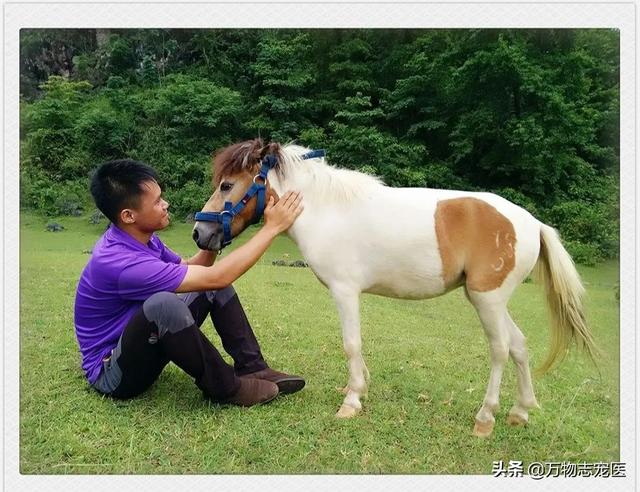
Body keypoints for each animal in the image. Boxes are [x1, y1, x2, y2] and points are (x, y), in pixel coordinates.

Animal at [189, 139, 596, 438]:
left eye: (226, 185)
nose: (198, 233)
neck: (327, 211)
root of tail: (533, 223)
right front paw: (357, 388)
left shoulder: (345, 291)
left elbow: (351, 344)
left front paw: (352, 401)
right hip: (492, 301)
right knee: (519, 346)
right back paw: (520, 412)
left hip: (487, 301)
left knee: (499, 350)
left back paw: (486, 417)